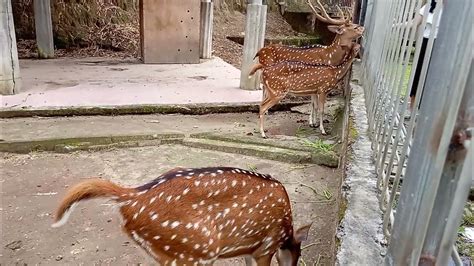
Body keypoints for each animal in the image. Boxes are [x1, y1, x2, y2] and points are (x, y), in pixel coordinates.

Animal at [51, 166, 312, 264]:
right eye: (299, 255)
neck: (286, 231)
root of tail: (131, 197)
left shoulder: (251, 249)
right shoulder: (266, 246)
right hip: (195, 248)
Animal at [252, 0, 362, 130]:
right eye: (354, 27)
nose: (363, 28)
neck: (331, 57)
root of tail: (259, 52)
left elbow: (313, 102)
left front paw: (313, 122)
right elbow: (314, 103)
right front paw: (313, 123)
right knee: (264, 89)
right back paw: (266, 113)